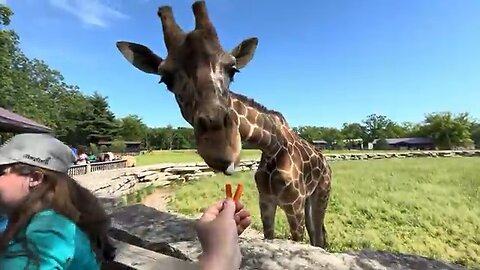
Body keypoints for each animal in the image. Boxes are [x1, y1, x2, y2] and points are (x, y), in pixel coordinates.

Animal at [115, 1, 334, 248]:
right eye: (165, 79)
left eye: (233, 69)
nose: (222, 149)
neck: (272, 146)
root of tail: (325, 161)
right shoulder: (266, 201)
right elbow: (269, 236)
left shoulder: (293, 204)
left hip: (320, 194)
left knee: (317, 236)